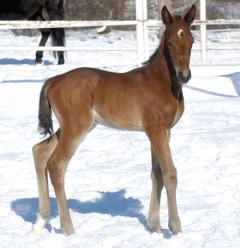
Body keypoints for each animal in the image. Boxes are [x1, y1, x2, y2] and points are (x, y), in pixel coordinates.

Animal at [32, 4, 196, 235]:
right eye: (170, 42)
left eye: (192, 41)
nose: (184, 76)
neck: (161, 83)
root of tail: (53, 80)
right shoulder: (155, 130)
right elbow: (169, 173)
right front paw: (175, 228)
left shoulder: (163, 131)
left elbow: (156, 173)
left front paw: (154, 227)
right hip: (76, 128)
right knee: (56, 165)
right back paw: (69, 229)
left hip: (73, 127)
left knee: (39, 151)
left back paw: (40, 220)